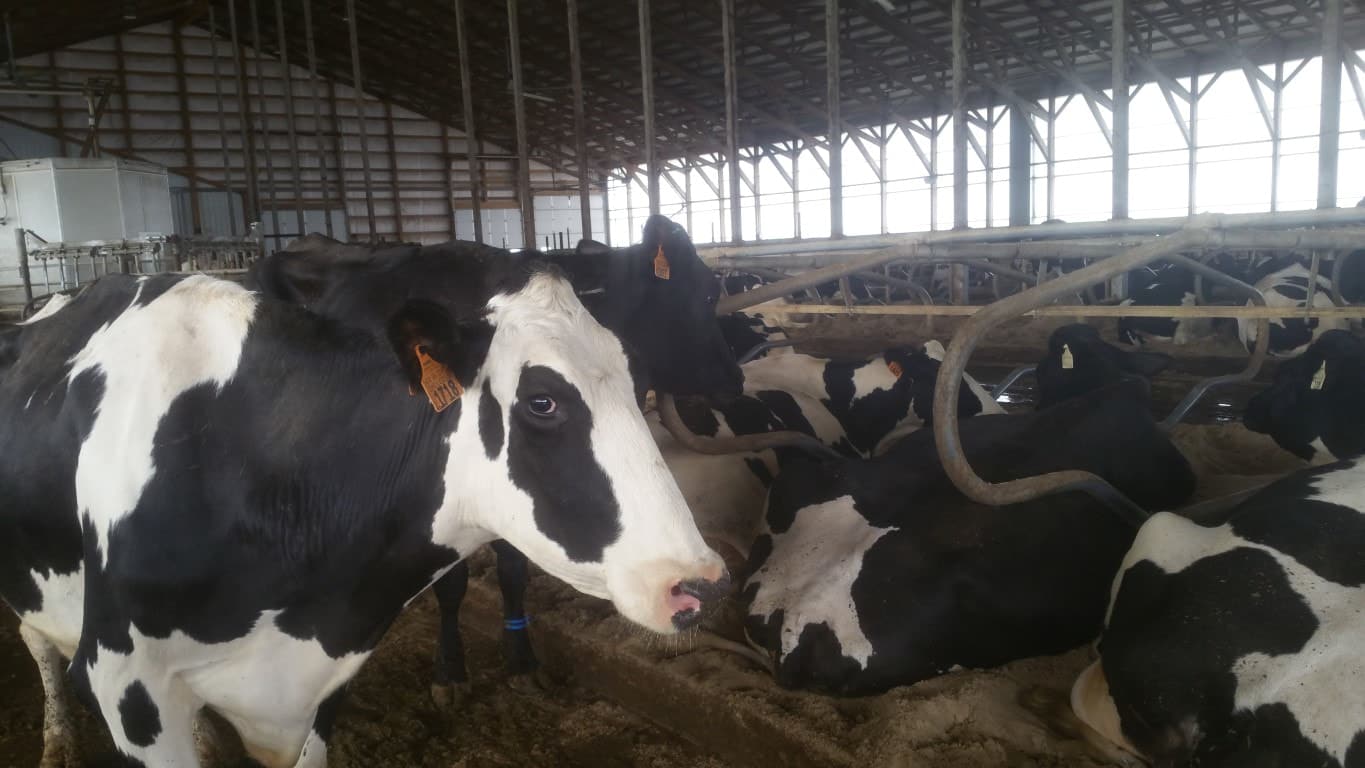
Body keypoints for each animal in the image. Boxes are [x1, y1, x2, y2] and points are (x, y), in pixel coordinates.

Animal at [0, 260, 726, 768]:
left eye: (637, 381)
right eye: (541, 401)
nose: (698, 581)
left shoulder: (325, 676)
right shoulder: (124, 683)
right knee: (35, 641)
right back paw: (58, 742)